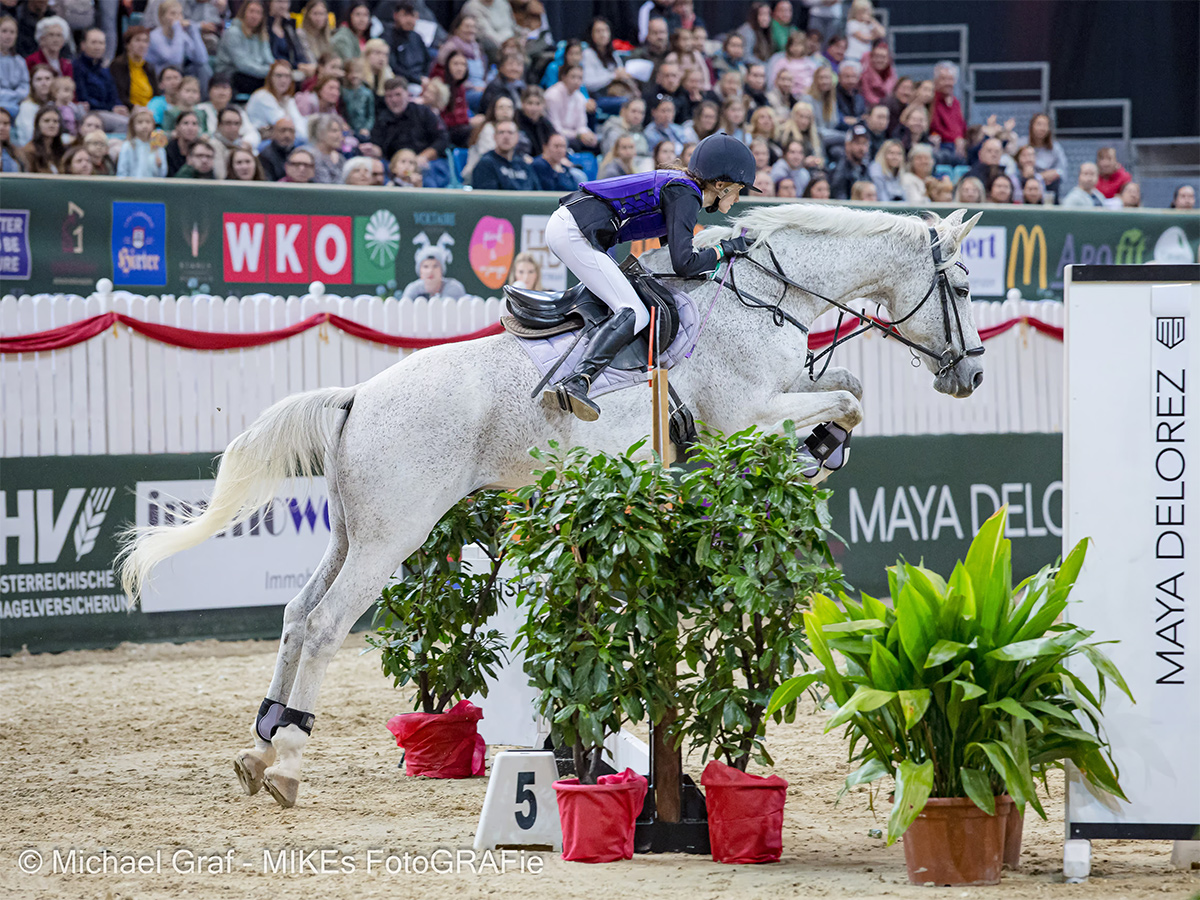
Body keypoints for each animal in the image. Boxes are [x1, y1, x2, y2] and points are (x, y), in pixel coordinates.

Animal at [118, 203, 986, 809]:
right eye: (965, 287)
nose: (972, 376)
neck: (766, 296)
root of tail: (359, 394)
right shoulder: (749, 414)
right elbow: (848, 396)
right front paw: (825, 443)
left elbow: (845, 390)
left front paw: (823, 448)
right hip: (394, 534)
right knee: (329, 623)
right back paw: (291, 765)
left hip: (351, 531)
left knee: (299, 613)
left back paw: (261, 749)